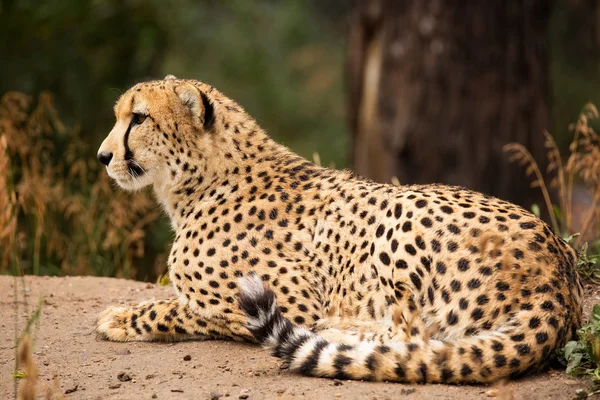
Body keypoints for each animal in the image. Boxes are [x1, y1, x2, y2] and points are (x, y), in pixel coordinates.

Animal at [96, 75, 584, 384]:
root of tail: (558, 275)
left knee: (415, 338)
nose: (103, 156)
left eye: (138, 118)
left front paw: (119, 317)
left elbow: (186, 308)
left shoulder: (288, 300)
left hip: (399, 212)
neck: (198, 182)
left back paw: (334, 332)